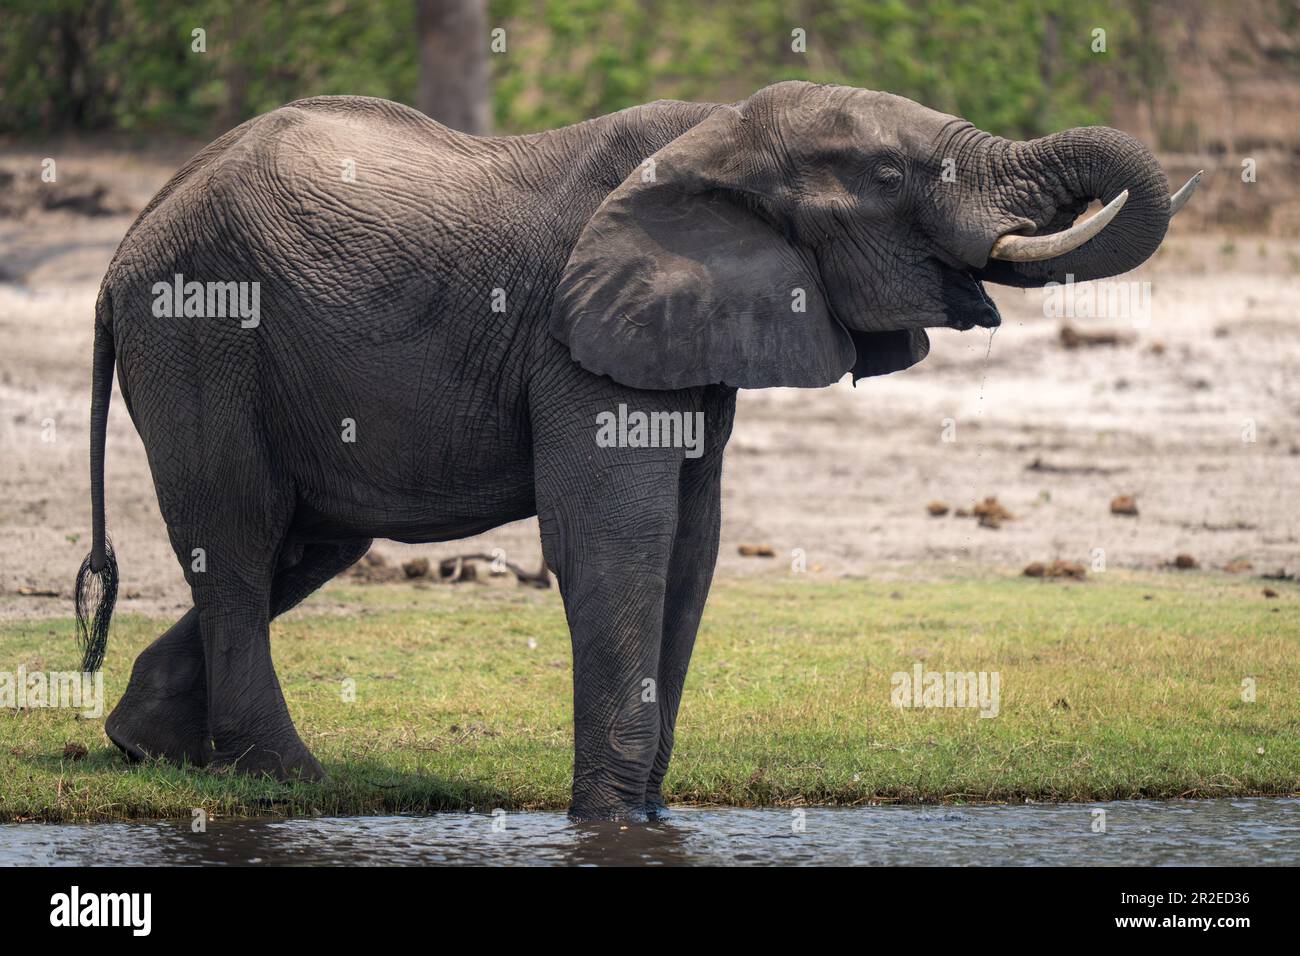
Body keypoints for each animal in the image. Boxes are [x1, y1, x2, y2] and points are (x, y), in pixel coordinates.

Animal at [74, 80, 1198, 821]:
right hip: (199, 331)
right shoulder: (579, 336)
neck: (719, 131)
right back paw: (288, 780)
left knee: (305, 542)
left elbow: (691, 548)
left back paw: (149, 744)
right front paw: (608, 819)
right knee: (239, 532)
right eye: (891, 175)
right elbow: (617, 541)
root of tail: (122, 247)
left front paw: (654, 817)